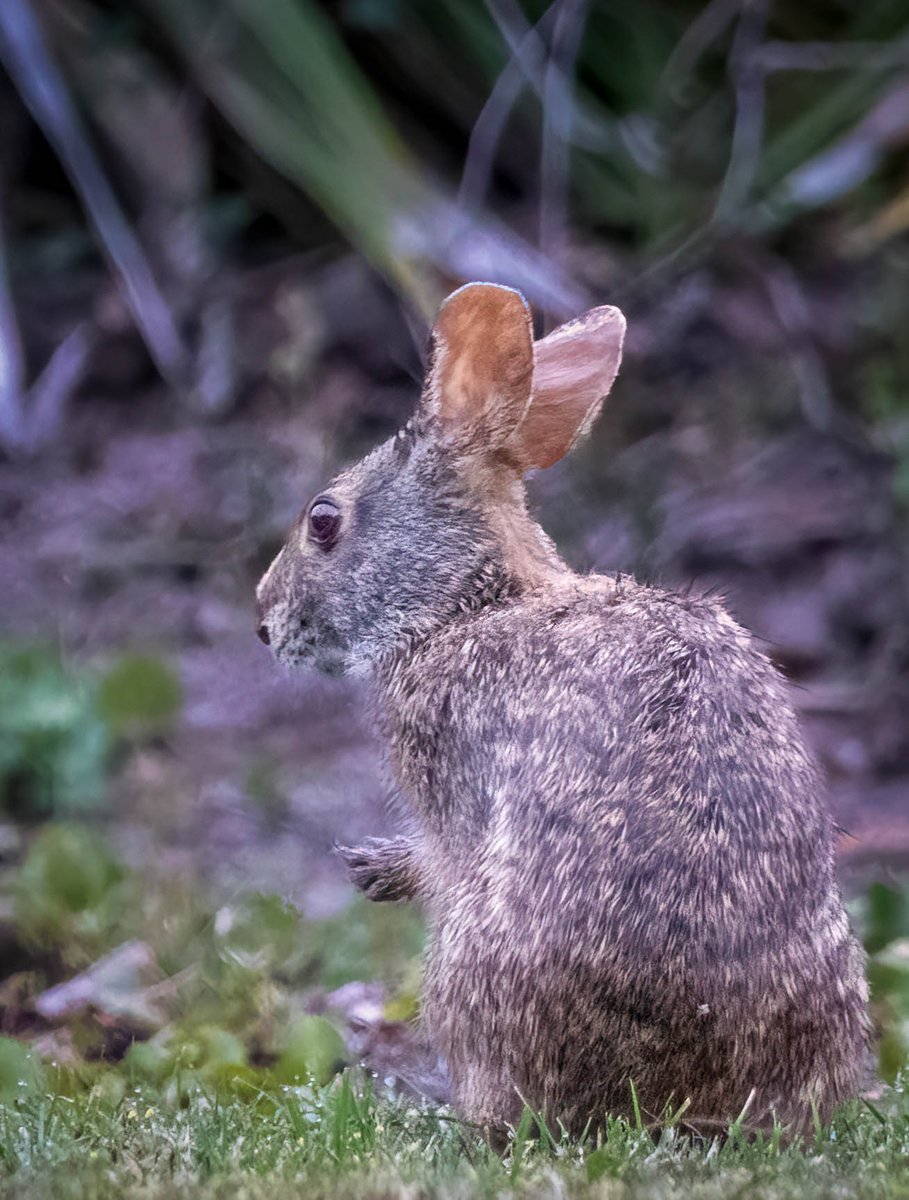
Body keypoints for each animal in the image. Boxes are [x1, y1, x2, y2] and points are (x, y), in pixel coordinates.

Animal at [256, 282, 871, 1141]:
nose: (262, 618)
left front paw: (377, 870)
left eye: (323, 521)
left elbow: (438, 851)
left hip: (466, 962)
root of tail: (681, 1097)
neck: (467, 601)